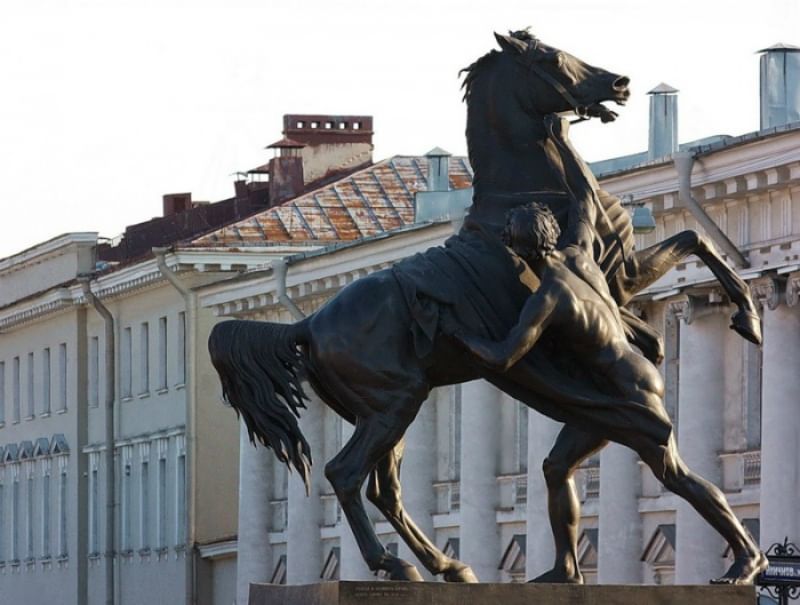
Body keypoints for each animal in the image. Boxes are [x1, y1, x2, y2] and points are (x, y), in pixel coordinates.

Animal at [209, 29, 764, 584]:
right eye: (550, 58)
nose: (620, 83)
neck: (527, 197)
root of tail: (308, 323)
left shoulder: (619, 279)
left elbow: (692, 240)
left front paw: (744, 318)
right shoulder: (596, 285)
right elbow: (679, 261)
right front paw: (743, 317)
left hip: (383, 411)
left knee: (383, 489)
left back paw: (449, 566)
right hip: (394, 404)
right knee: (345, 475)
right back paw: (398, 564)